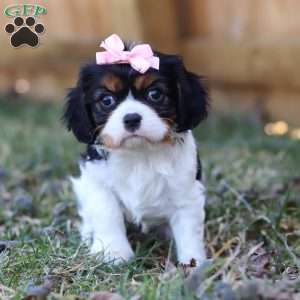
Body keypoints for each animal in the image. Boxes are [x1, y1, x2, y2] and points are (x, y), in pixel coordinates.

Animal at [63, 34, 209, 266]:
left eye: (155, 94)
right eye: (106, 100)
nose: (131, 118)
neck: (140, 153)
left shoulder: (186, 193)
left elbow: (189, 230)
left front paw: (193, 262)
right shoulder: (98, 184)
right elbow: (107, 215)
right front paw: (113, 253)